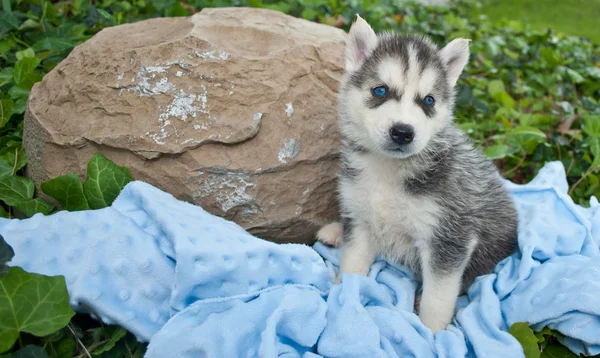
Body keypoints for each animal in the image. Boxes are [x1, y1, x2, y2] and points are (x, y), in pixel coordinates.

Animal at [316, 14, 516, 332]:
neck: (388, 170)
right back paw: (334, 231)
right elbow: (352, 263)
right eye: (380, 90)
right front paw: (342, 292)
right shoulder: (361, 221)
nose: (402, 132)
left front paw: (432, 333)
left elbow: (438, 297)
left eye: (429, 101)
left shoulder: (449, 238)